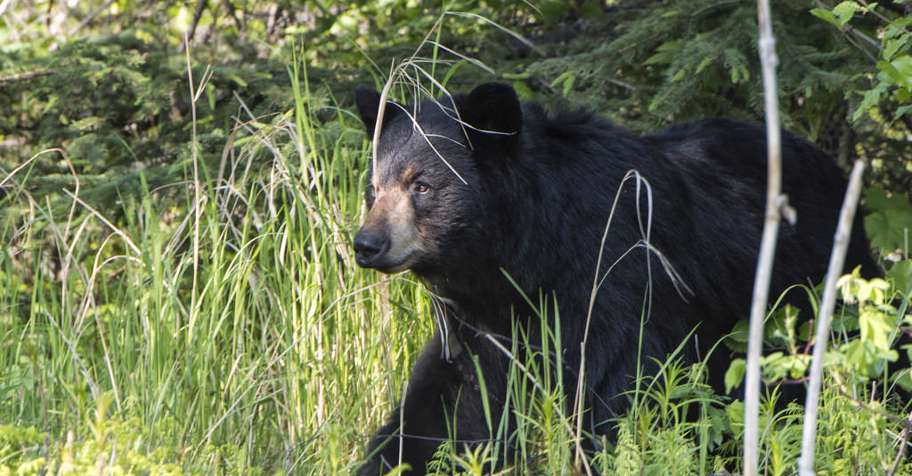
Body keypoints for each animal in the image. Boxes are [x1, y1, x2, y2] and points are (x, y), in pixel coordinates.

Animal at [351, 82, 876, 475]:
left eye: (421, 185)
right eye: (374, 187)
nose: (367, 244)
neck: (533, 249)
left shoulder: (614, 279)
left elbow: (615, 394)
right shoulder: (482, 316)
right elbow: (450, 398)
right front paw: (393, 460)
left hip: (816, 288)